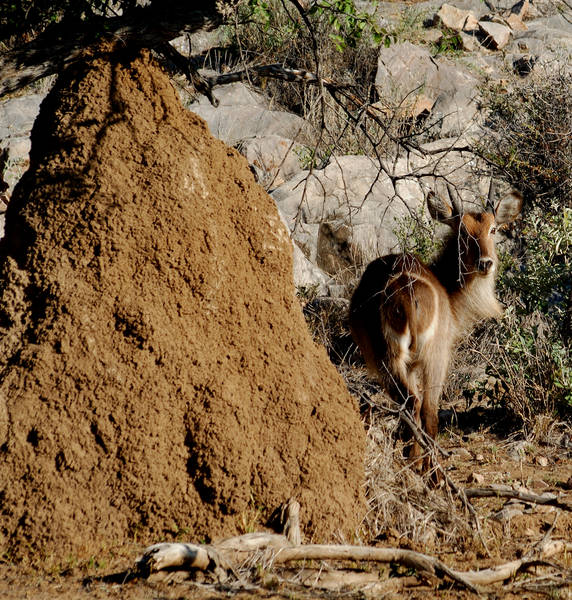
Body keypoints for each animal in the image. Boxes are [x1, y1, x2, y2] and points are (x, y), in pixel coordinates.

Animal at [346, 180, 520, 476]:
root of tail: (405, 291)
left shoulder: (411, 365)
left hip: (395, 360)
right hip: (424, 357)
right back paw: (429, 470)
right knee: (426, 408)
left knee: (411, 403)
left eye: (493, 228)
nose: (486, 263)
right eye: (463, 232)